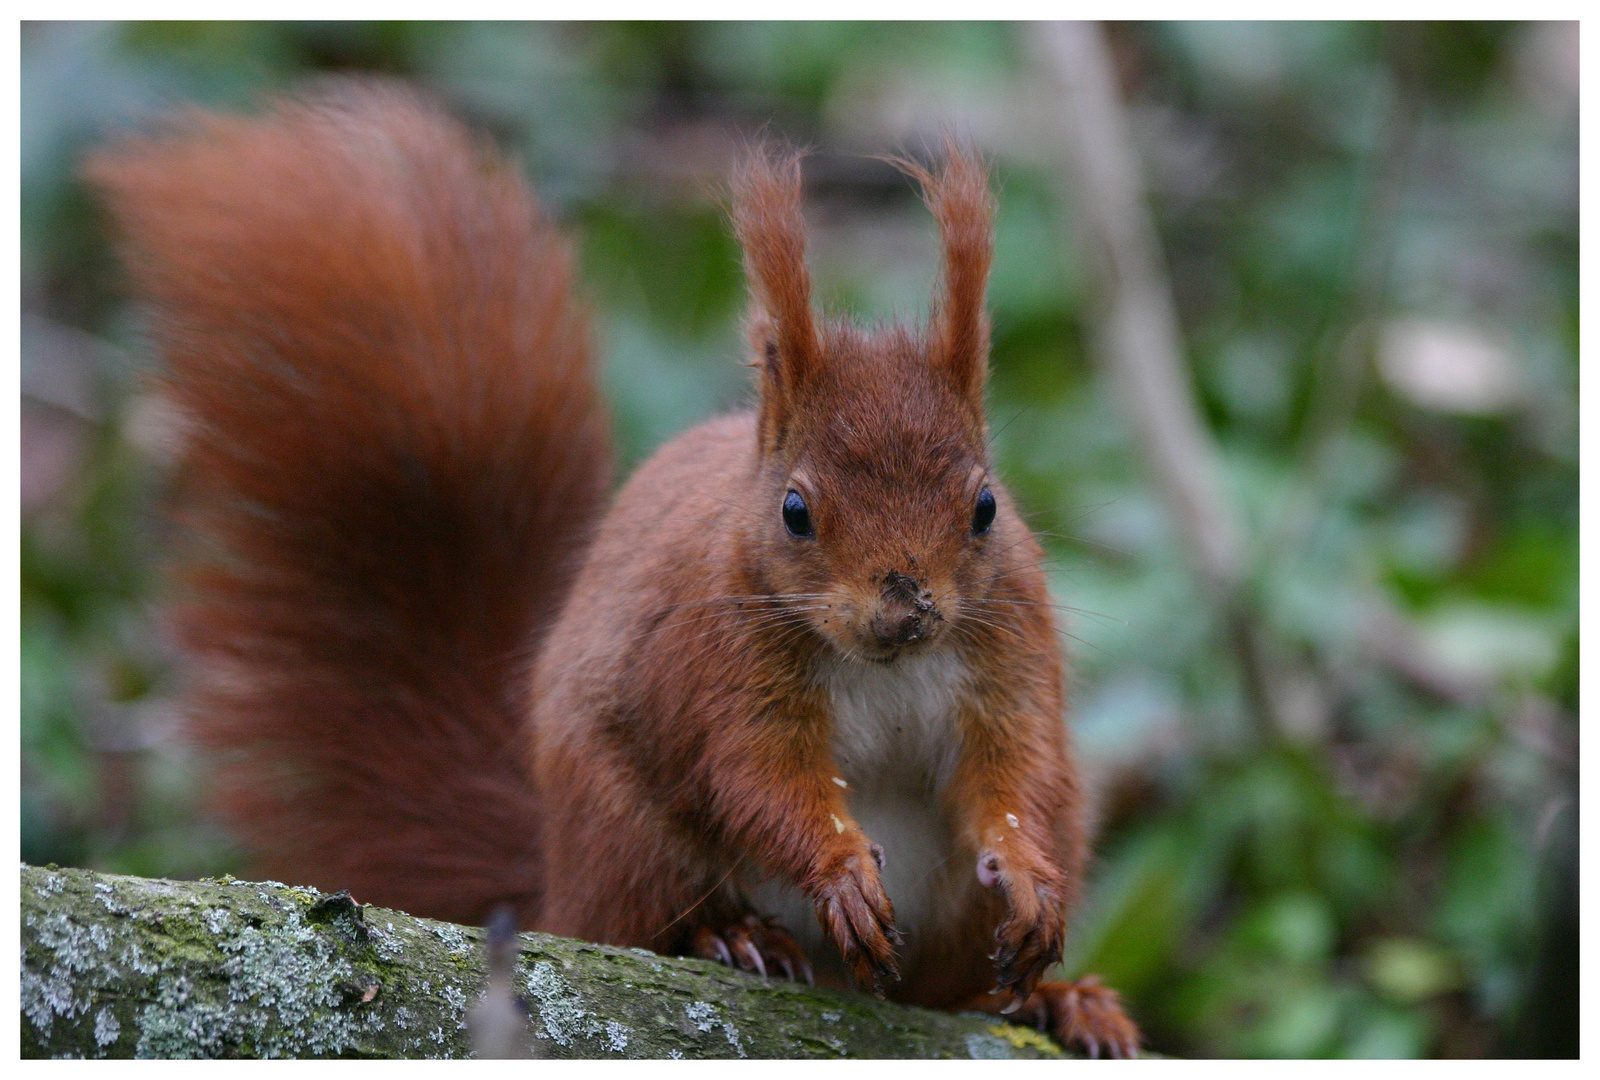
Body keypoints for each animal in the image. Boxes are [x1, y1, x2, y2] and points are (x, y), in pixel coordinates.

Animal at [84, 82, 1139, 1056]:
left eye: (985, 507)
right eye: (796, 511)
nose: (908, 606)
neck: (883, 665)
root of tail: (558, 877)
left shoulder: (1007, 648)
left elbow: (1015, 773)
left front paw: (1027, 878)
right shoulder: (719, 662)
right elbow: (761, 778)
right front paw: (839, 870)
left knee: (953, 989)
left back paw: (1054, 1000)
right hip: (626, 831)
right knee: (647, 918)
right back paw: (732, 938)